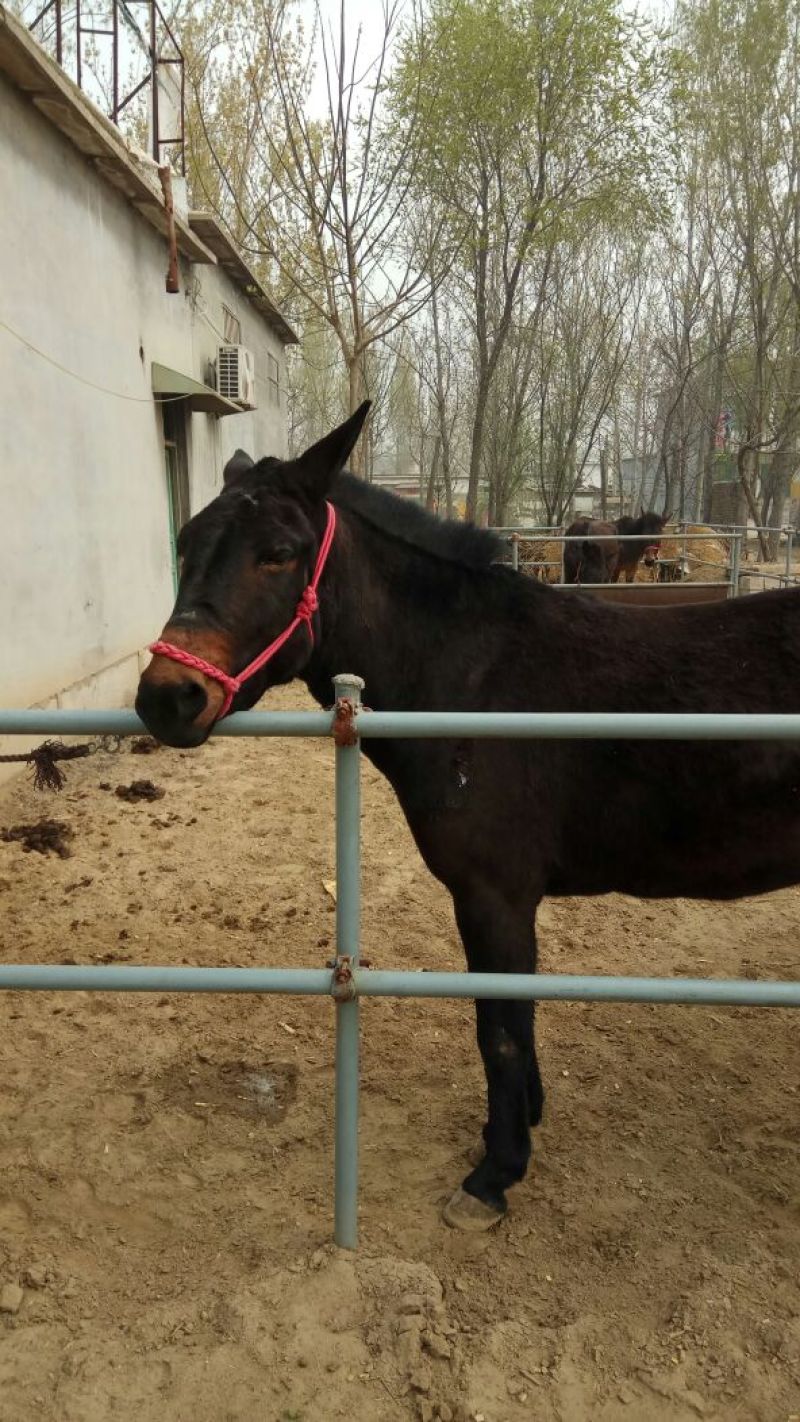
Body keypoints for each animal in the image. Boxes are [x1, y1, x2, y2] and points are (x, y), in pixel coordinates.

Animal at [136, 405, 800, 1233]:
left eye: (278, 554)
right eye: (186, 541)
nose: (168, 697)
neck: (475, 678)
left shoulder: (494, 896)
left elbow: (500, 1031)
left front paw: (495, 1173)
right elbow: (513, 1017)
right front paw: (519, 1126)